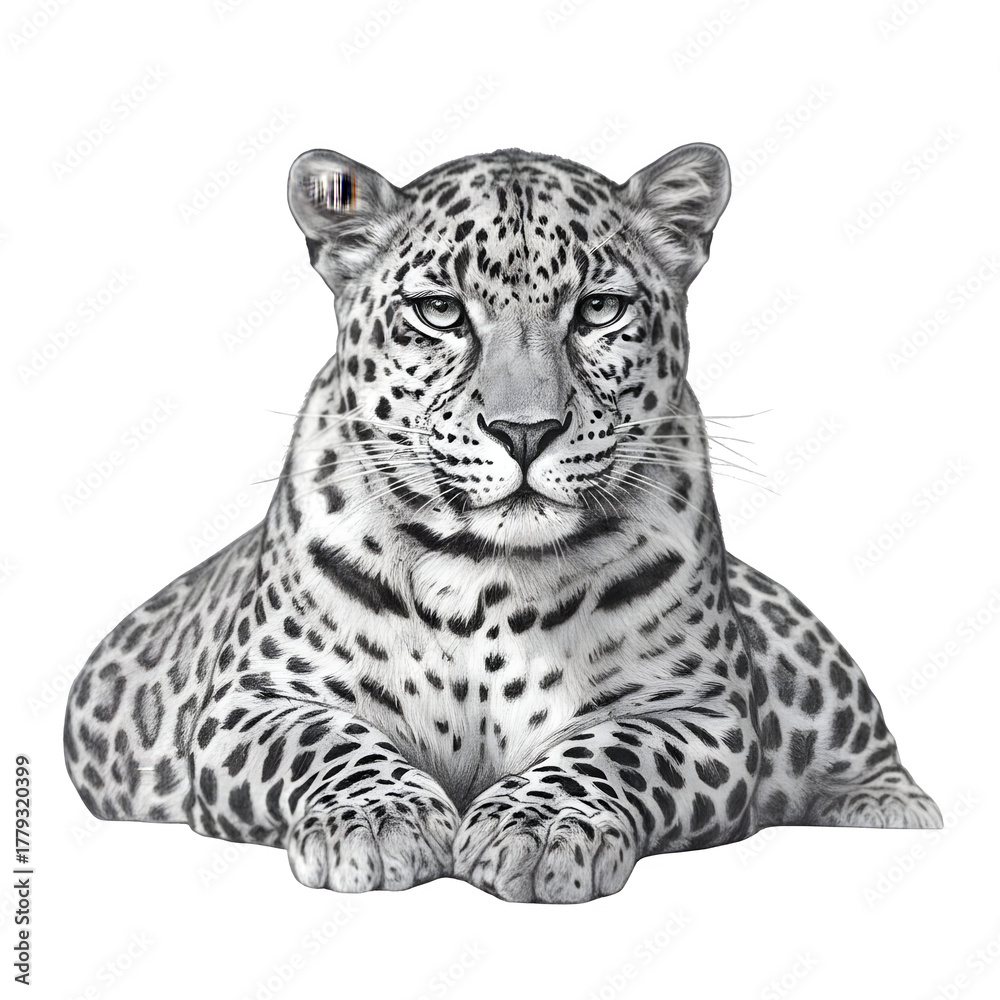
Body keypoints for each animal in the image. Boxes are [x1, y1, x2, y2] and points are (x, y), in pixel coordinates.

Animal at [64, 142, 942, 903]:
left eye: (599, 310)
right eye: (440, 312)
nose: (526, 431)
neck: (485, 575)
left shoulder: (701, 712)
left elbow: (613, 749)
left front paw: (542, 829)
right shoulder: (252, 703)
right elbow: (330, 740)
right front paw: (378, 822)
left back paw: (893, 809)